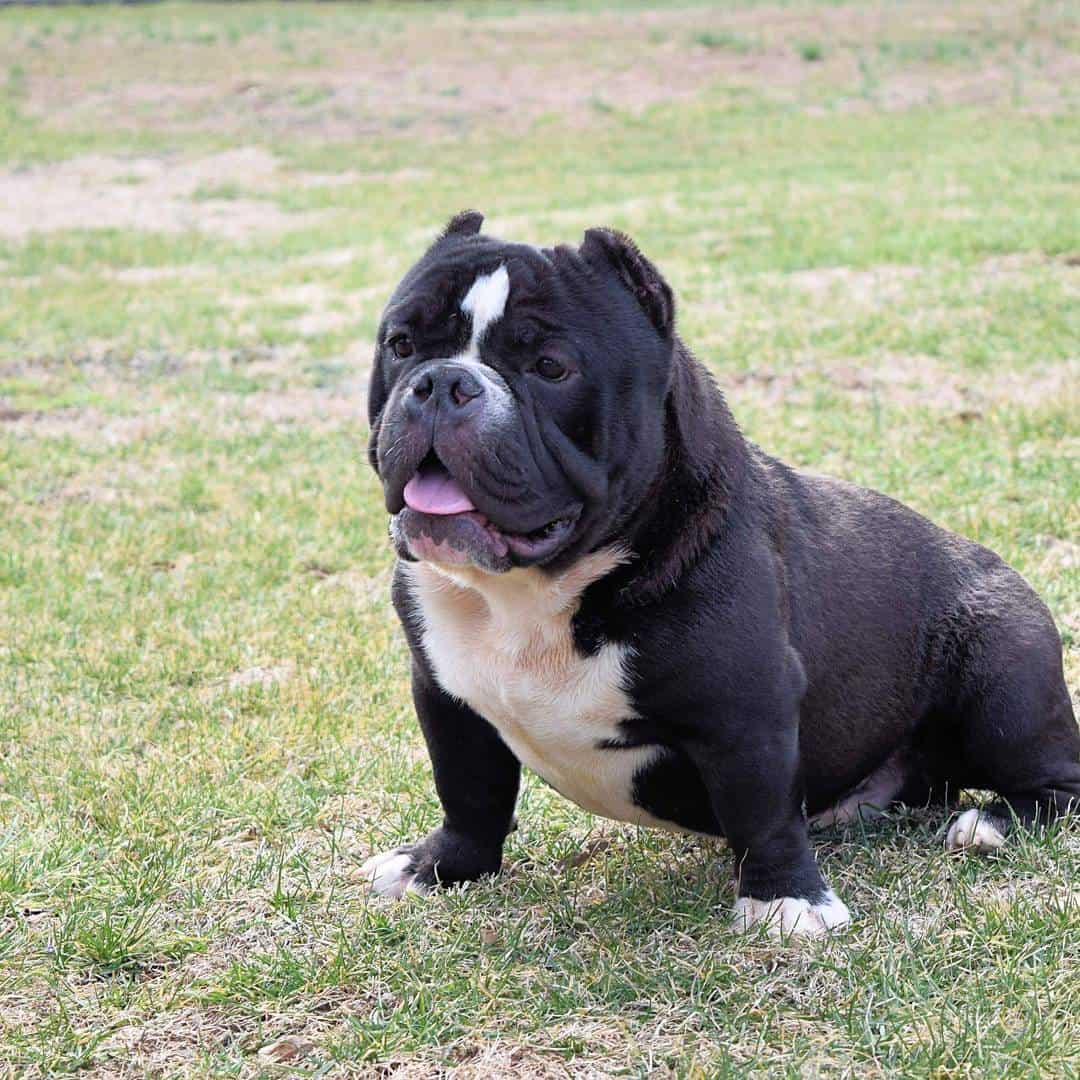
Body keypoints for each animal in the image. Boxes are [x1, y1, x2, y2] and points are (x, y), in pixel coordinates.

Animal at [360, 210, 1071, 937]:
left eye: (551, 367)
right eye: (401, 344)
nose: (442, 383)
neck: (531, 592)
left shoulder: (746, 707)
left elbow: (762, 808)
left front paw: (784, 899)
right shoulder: (444, 696)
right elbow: (469, 792)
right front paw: (439, 867)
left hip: (1001, 677)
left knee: (1055, 783)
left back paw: (990, 824)